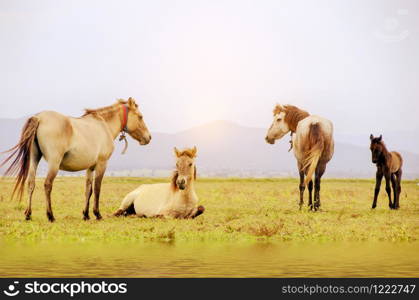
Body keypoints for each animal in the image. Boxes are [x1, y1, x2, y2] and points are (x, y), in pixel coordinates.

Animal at [0, 97, 152, 221]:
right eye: (140, 117)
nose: (148, 137)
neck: (103, 125)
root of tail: (39, 118)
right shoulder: (102, 164)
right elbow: (97, 188)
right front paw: (97, 214)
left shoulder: (90, 167)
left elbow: (88, 190)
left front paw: (86, 215)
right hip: (54, 163)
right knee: (47, 184)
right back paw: (50, 215)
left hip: (34, 159)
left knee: (31, 183)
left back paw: (28, 214)